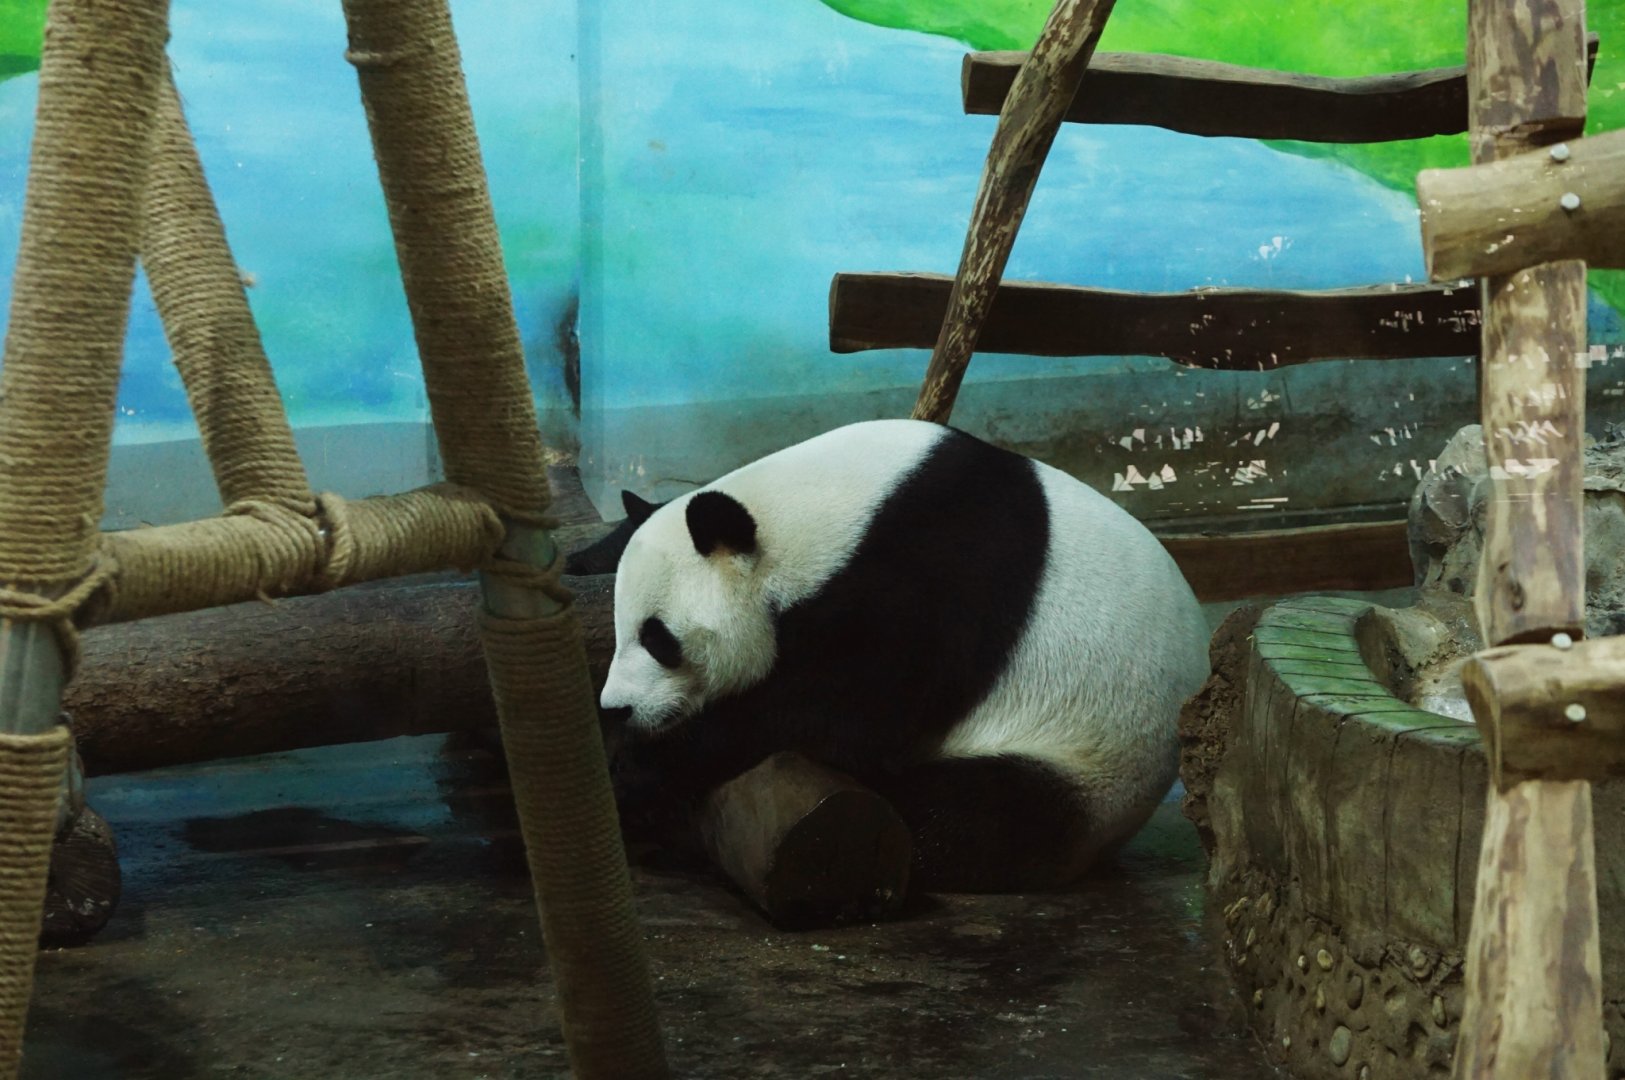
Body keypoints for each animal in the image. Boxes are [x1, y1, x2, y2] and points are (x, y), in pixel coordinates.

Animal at [599, 418, 1210, 893]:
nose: (617, 708)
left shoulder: (934, 573)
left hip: (1086, 761)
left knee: (968, 816)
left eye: (659, 639)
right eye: (620, 630)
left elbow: (844, 715)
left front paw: (642, 766)